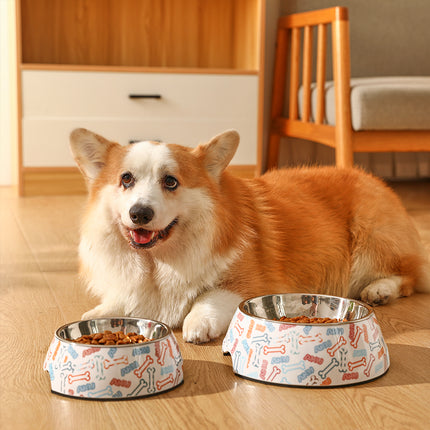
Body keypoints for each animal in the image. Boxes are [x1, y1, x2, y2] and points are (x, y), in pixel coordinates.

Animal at [69, 127, 428, 342]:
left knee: (408, 276)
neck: (158, 262)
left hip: (371, 241)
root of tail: (379, 182)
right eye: (126, 179)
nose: (139, 214)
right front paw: (100, 313)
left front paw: (198, 324)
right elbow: (122, 300)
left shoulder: (249, 284)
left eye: (170, 181)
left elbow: (208, 297)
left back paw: (380, 289)